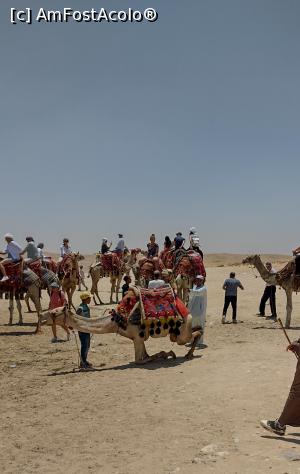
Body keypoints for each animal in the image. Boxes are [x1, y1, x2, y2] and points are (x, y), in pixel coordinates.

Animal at [41, 288, 203, 362]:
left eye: (55, 312)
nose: (42, 318)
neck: (116, 320)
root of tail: (184, 307)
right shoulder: (138, 338)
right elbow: (145, 356)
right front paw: (167, 354)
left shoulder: (137, 336)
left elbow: (140, 360)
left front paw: (167, 354)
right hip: (176, 332)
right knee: (197, 330)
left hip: (181, 332)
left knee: (195, 334)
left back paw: (189, 354)